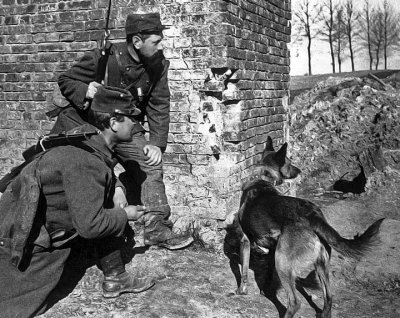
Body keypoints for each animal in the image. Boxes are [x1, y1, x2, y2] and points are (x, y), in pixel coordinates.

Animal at [234, 137, 384, 318]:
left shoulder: (245, 241)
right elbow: (268, 274)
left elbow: (243, 271)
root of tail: (314, 216)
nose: (299, 170)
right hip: (321, 264)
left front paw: (241, 291)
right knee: (329, 297)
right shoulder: (271, 249)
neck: (263, 177)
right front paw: (265, 290)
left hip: (282, 262)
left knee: (295, 302)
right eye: (289, 163)